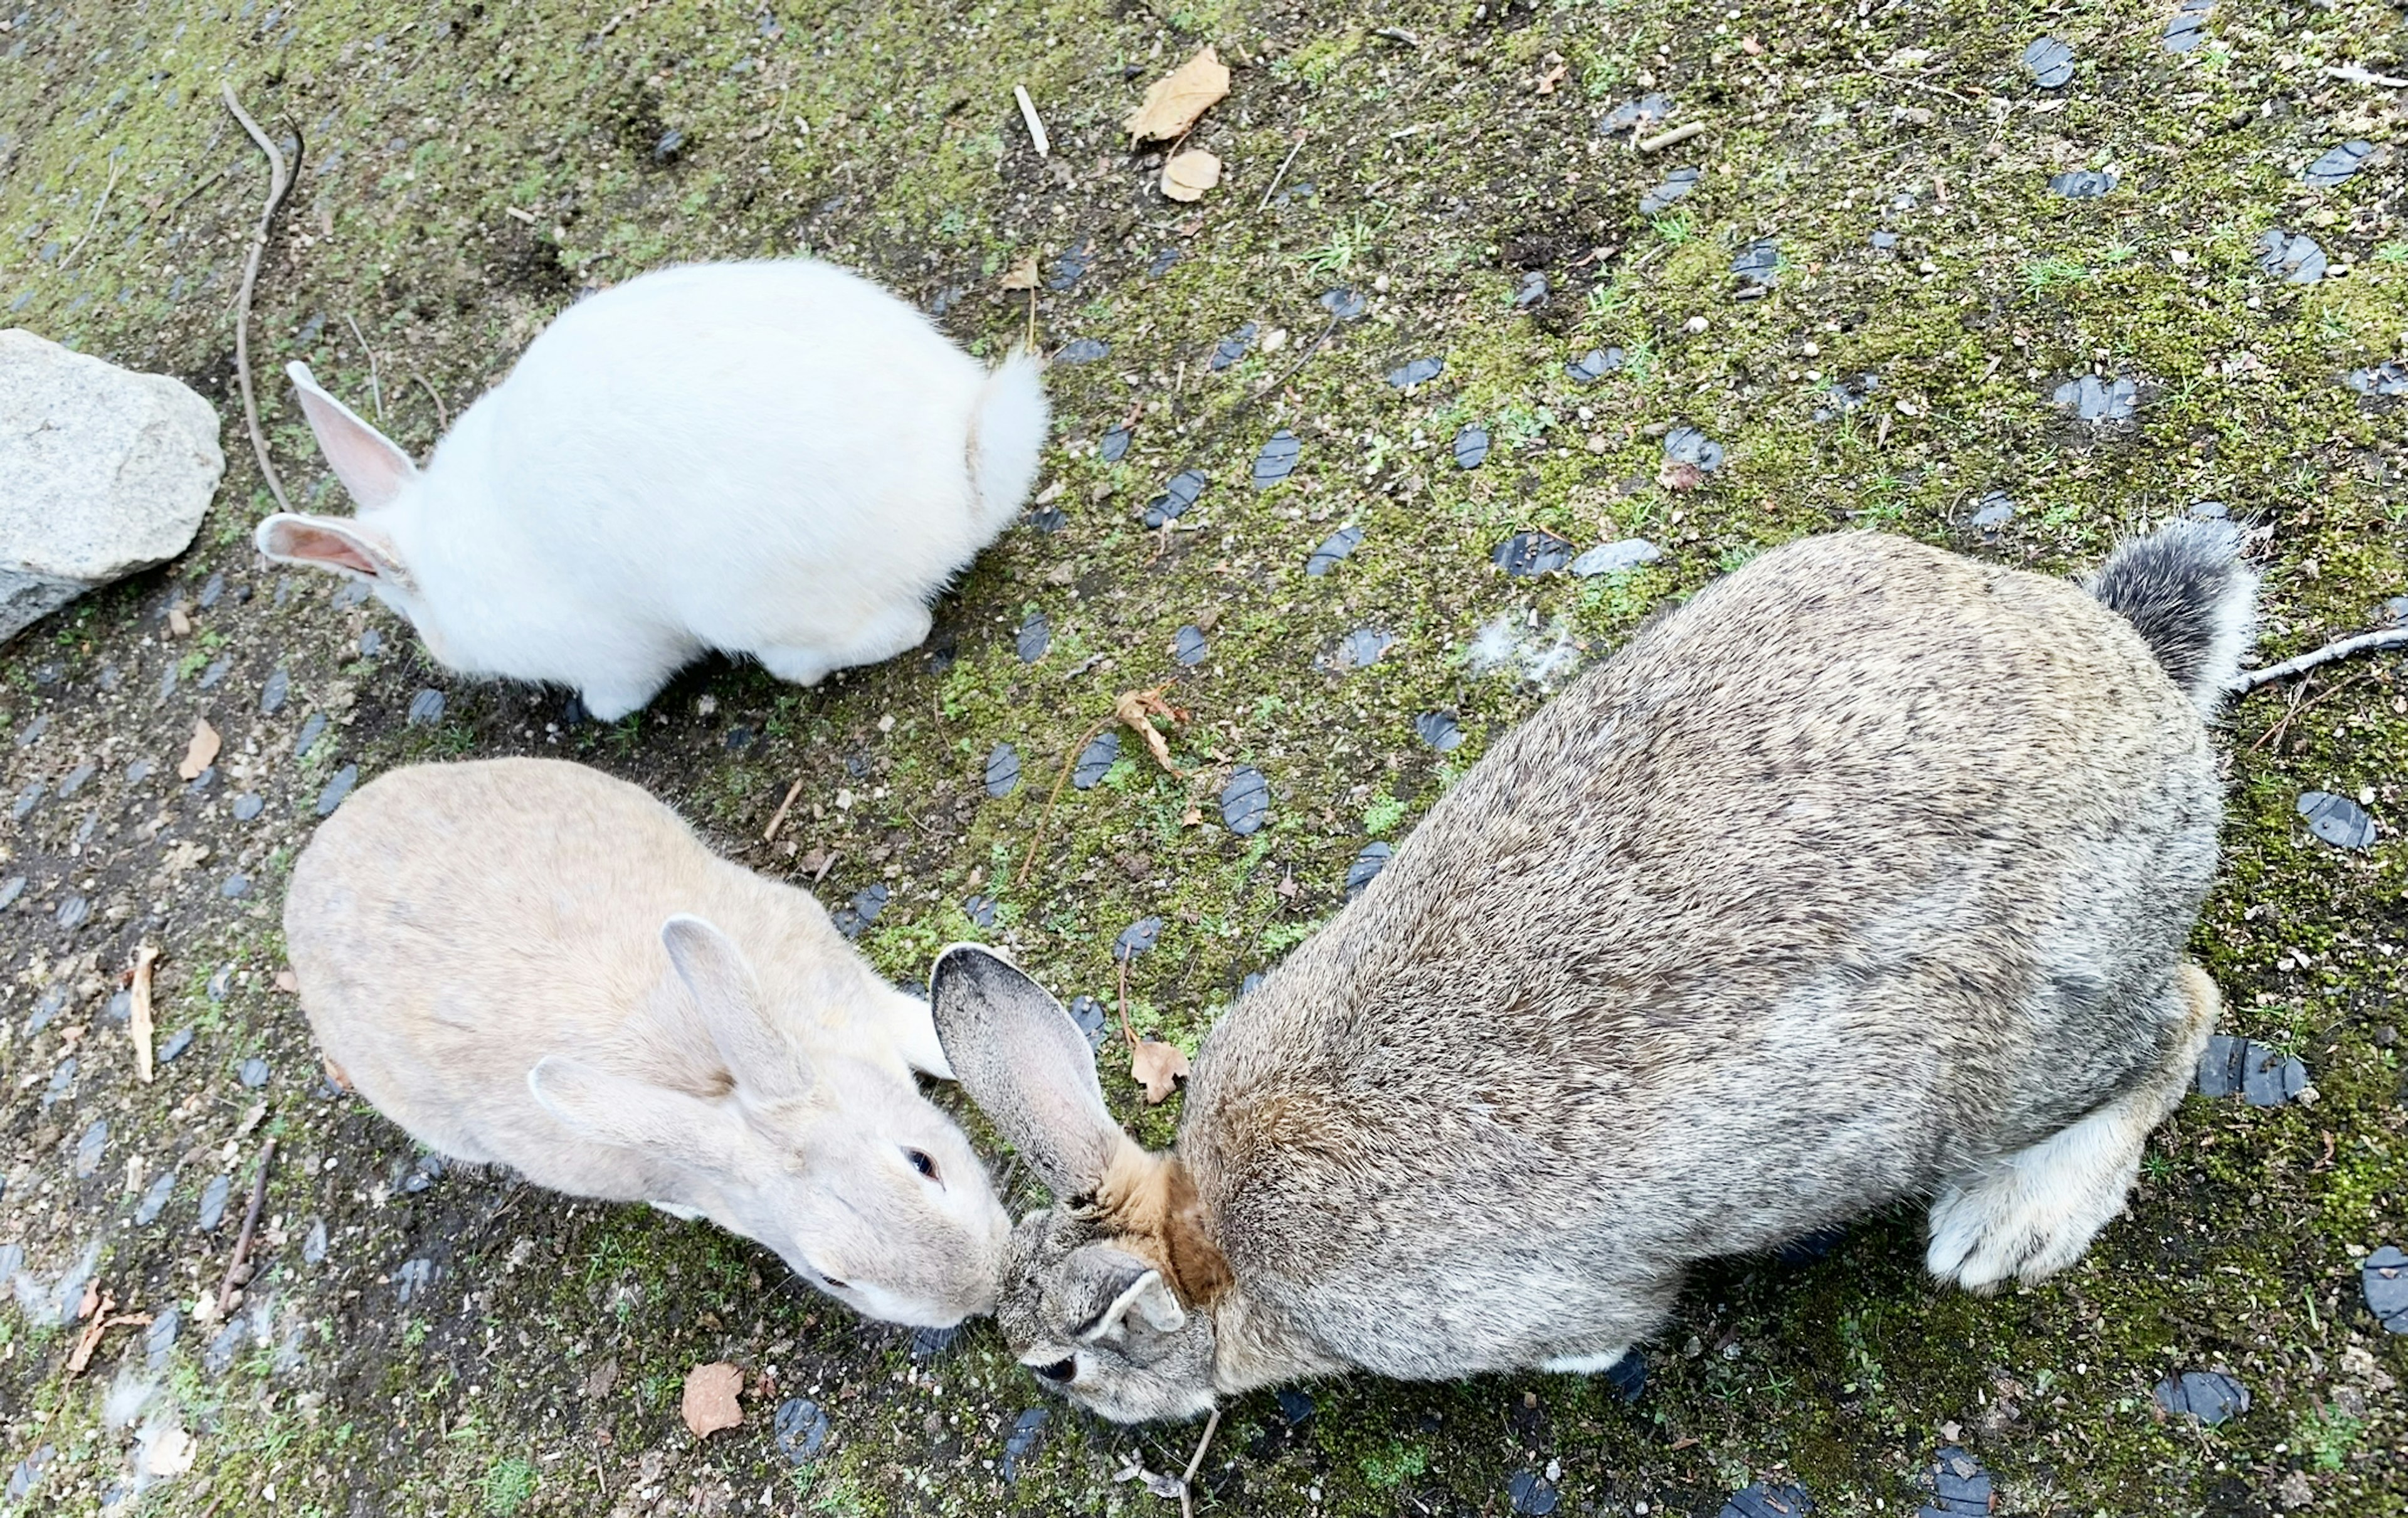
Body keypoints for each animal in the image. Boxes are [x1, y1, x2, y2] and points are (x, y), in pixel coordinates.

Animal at [254, 259, 1045, 722]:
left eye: (404, 611)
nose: (439, 655)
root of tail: (962, 477)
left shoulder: (615, 654)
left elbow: (620, 692)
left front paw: (598, 713)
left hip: (745, 600)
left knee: (897, 630)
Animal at [924, 525, 2254, 1426]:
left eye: (1062, 1362)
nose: (1073, 1411)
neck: (1216, 1246)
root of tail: (2147, 686)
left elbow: (1609, 1326)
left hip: (2008, 1054)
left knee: (2184, 1015)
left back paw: (2011, 1223)